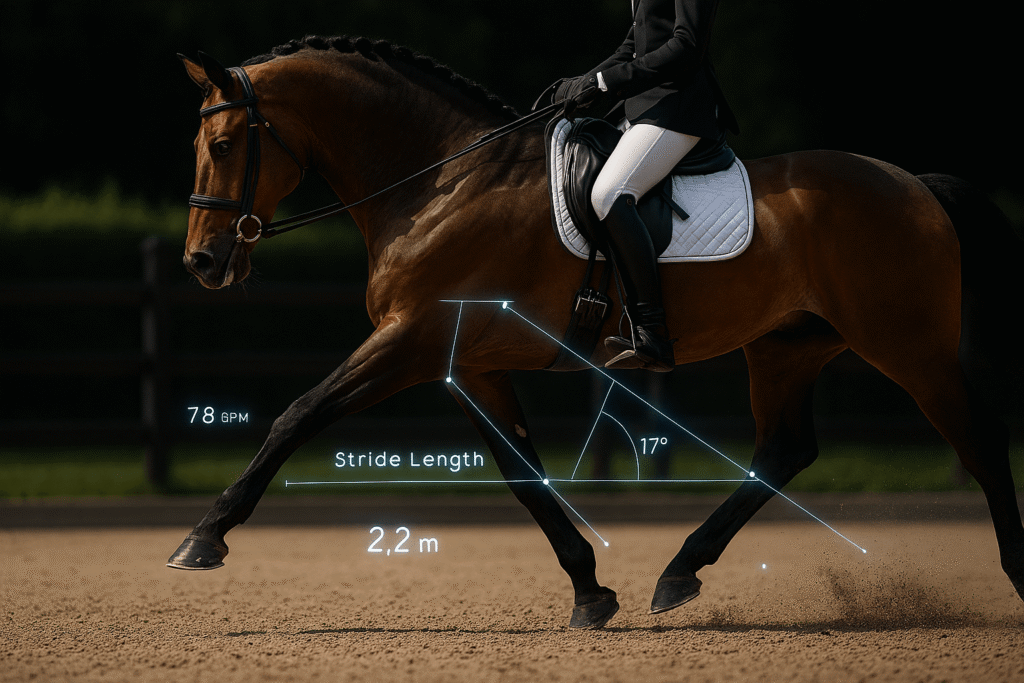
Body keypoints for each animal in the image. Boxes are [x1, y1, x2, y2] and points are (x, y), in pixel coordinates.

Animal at [169, 35, 1024, 629]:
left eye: (223, 146)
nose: (202, 263)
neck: (441, 181)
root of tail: (913, 183)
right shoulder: (467, 363)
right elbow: (524, 477)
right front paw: (590, 589)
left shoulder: (412, 341)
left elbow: (296, 414)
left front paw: (202, 539)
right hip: (786, 347)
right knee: (784, 450)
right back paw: (678, 573)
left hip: (909, 347)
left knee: (979, 442)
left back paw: (1016, 575)